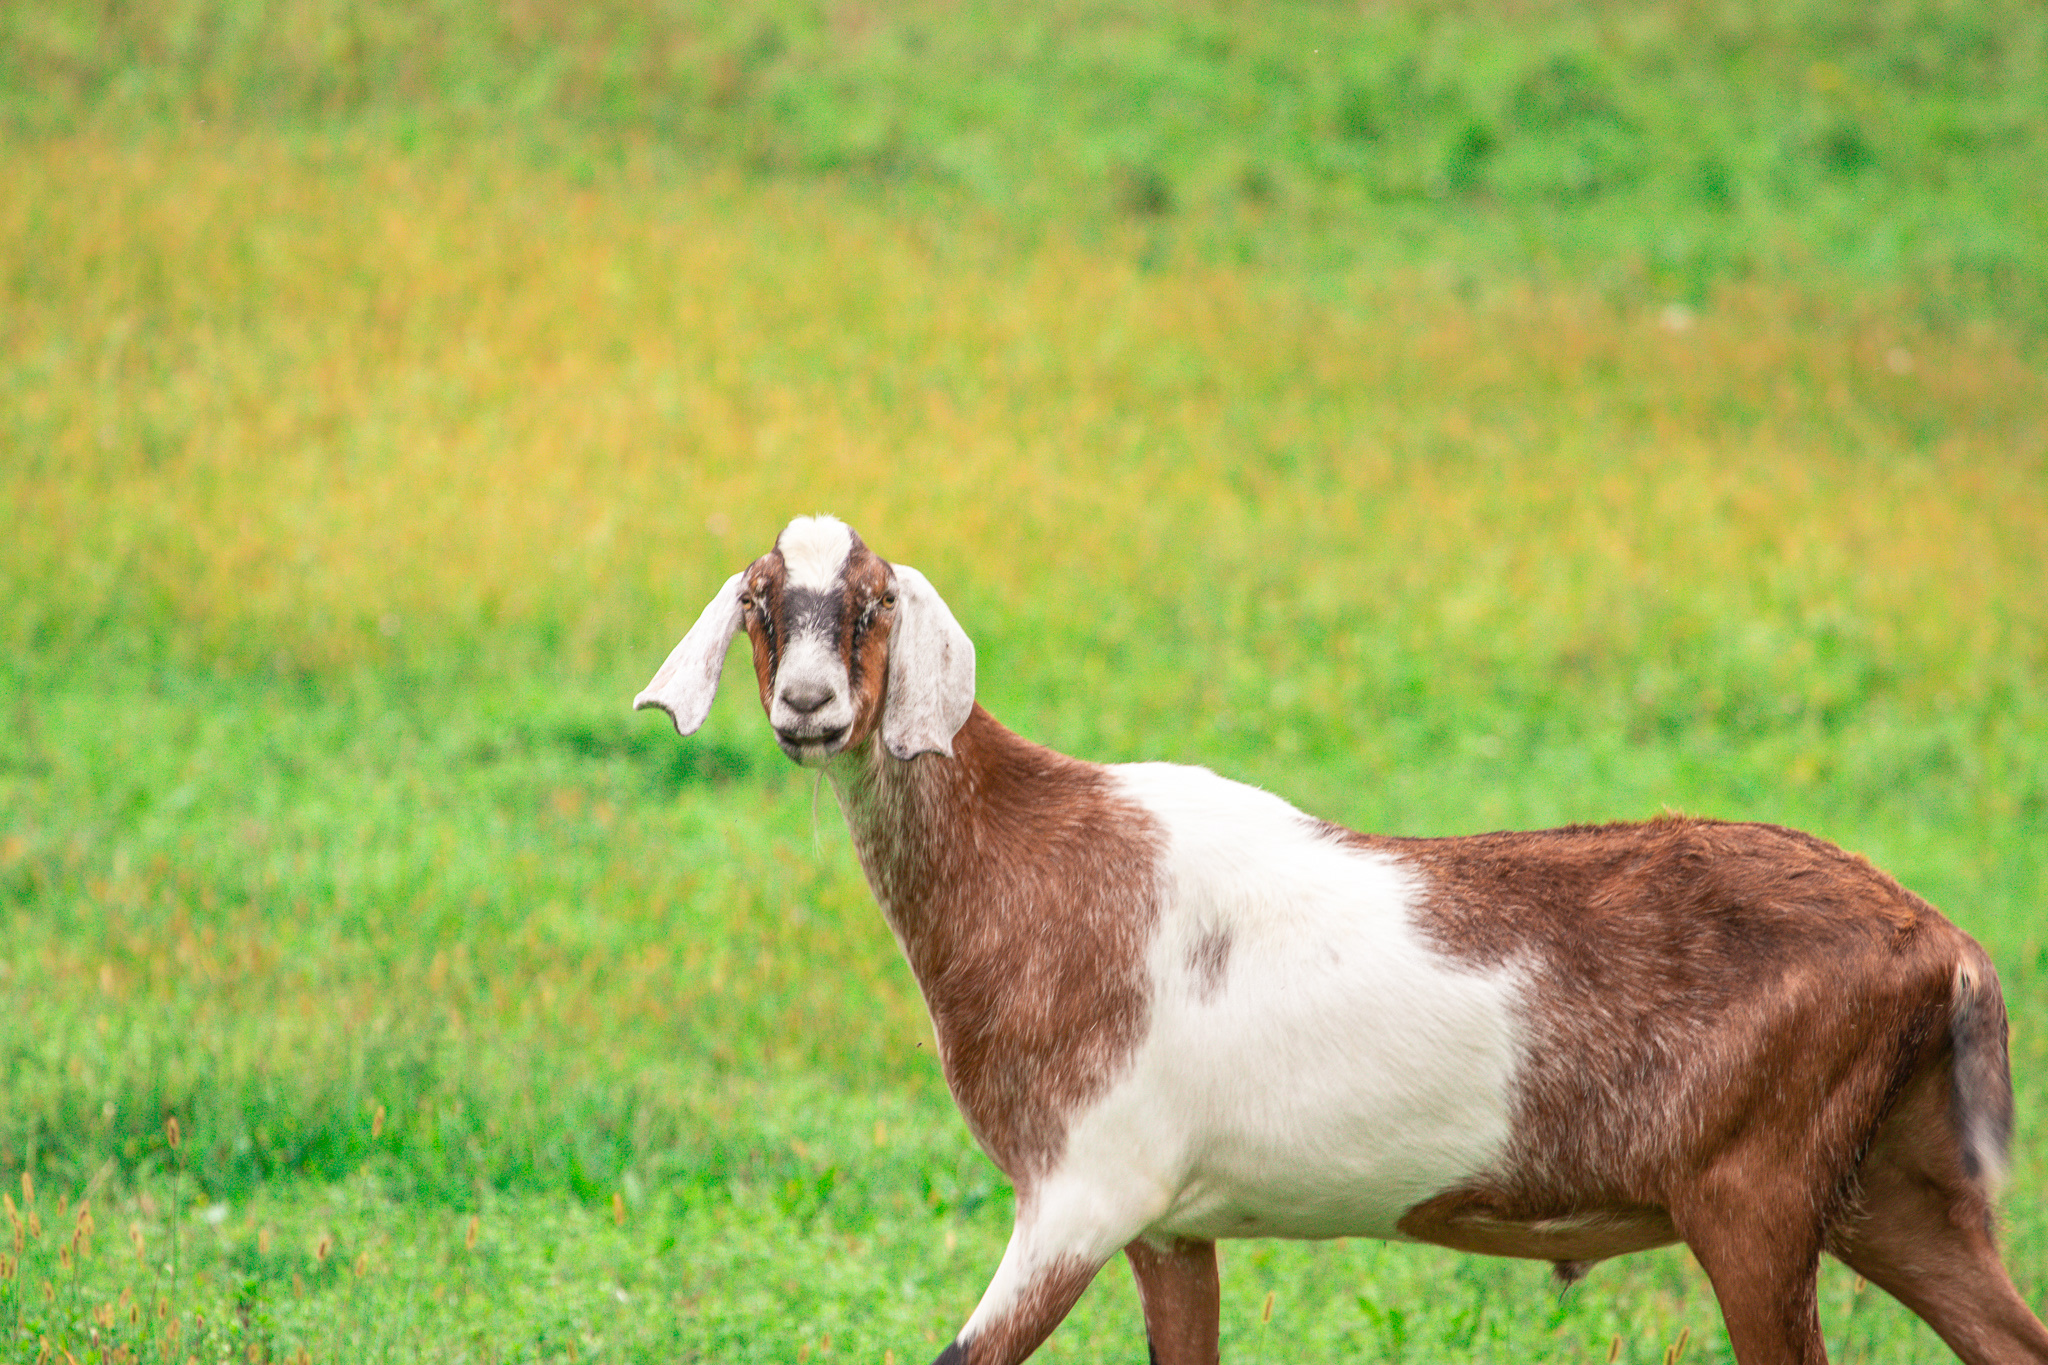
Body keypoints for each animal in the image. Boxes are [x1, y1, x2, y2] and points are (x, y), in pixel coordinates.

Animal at [636, 514, 2045, 1365]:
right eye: (761, 601)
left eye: (871, 603)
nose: (809, 709)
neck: (1035, 862)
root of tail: (1942, 944)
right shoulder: (1168, 1224)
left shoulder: (1083, 1189)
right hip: (1892, 1184)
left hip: (1753, 1192)